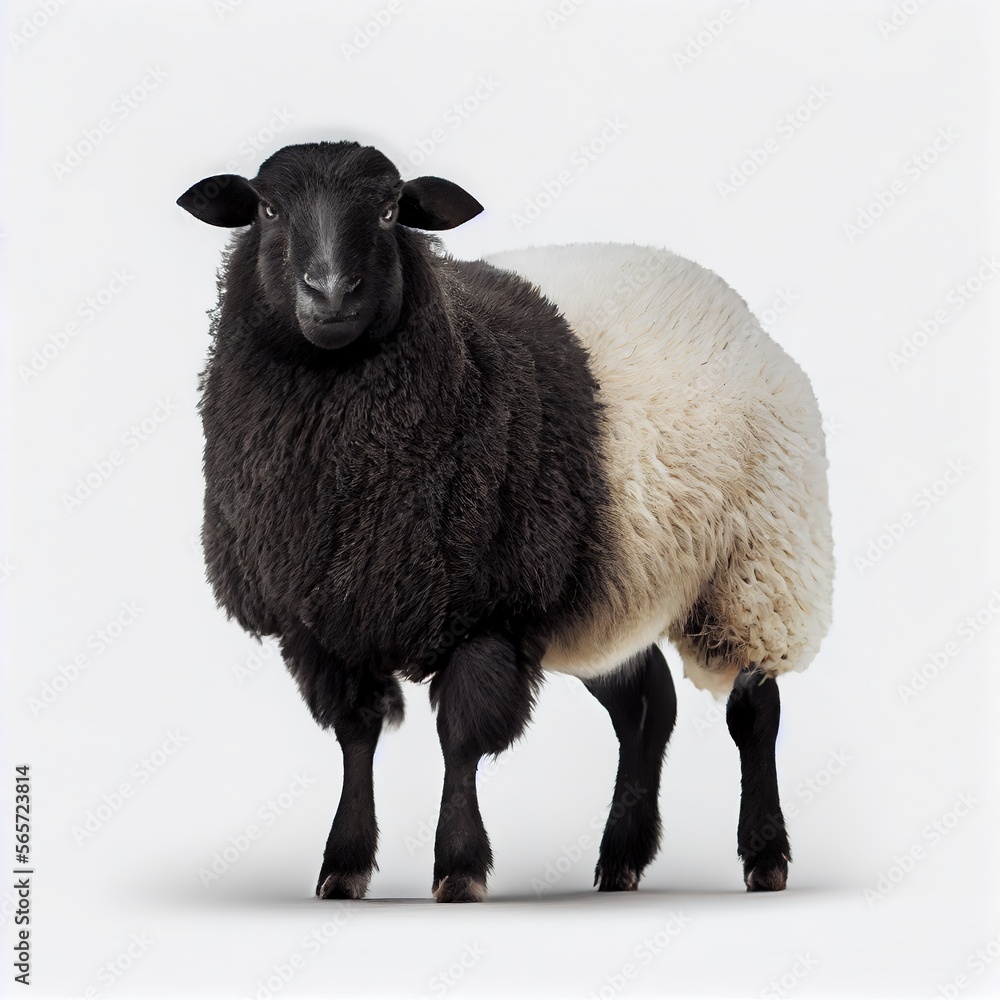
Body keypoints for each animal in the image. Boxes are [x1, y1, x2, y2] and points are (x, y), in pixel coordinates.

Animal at [176, 140, 833, 902]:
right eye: (267, 208)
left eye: (391, 209)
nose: (330, 293)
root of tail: (732, 305)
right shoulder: (325, 619)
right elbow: (356, 737)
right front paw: (343, 866)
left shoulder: (491, 608)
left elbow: (461, 739)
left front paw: (459, 867)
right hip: (606, 589)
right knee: (646, 705)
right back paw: (621, 860)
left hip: (759, 562)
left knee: (753, 709)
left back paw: (765, 857)